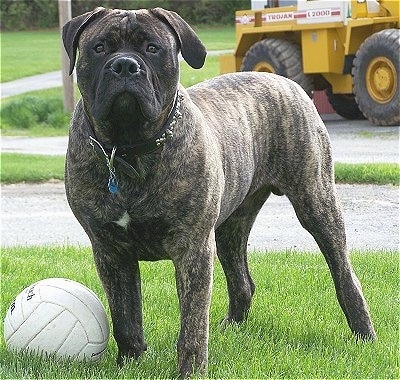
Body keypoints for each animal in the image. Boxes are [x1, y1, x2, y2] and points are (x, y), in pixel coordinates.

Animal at [61, 7, 376, 378]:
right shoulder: (110, 250)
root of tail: (286, 81)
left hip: (317, 203)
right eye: (98, 48)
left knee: (344, 275)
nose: (124, 65)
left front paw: (190, 371)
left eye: (152, 48)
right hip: (231, 227)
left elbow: (192, 324)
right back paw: (232, 327)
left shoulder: (193, 248)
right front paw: (130, 363)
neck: (127, 149)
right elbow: (125, 316)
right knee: (242, 281)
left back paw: (364, 333)